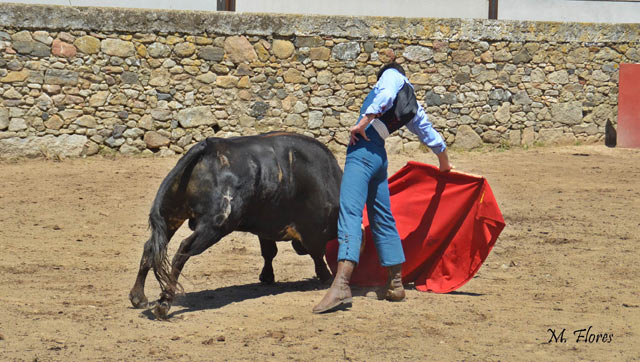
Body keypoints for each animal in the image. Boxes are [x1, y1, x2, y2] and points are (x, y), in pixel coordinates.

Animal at [127, 132, 342, 318]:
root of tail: (209, 147)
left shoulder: (267, 228)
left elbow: (269, 252)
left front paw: (267, 276)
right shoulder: (313, 231)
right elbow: (317, 255)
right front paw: (326, 276)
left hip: (171, 215)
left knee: (151, 247)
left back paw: (138, 297)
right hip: (213, 226)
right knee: (182, 251)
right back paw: (164, 303)